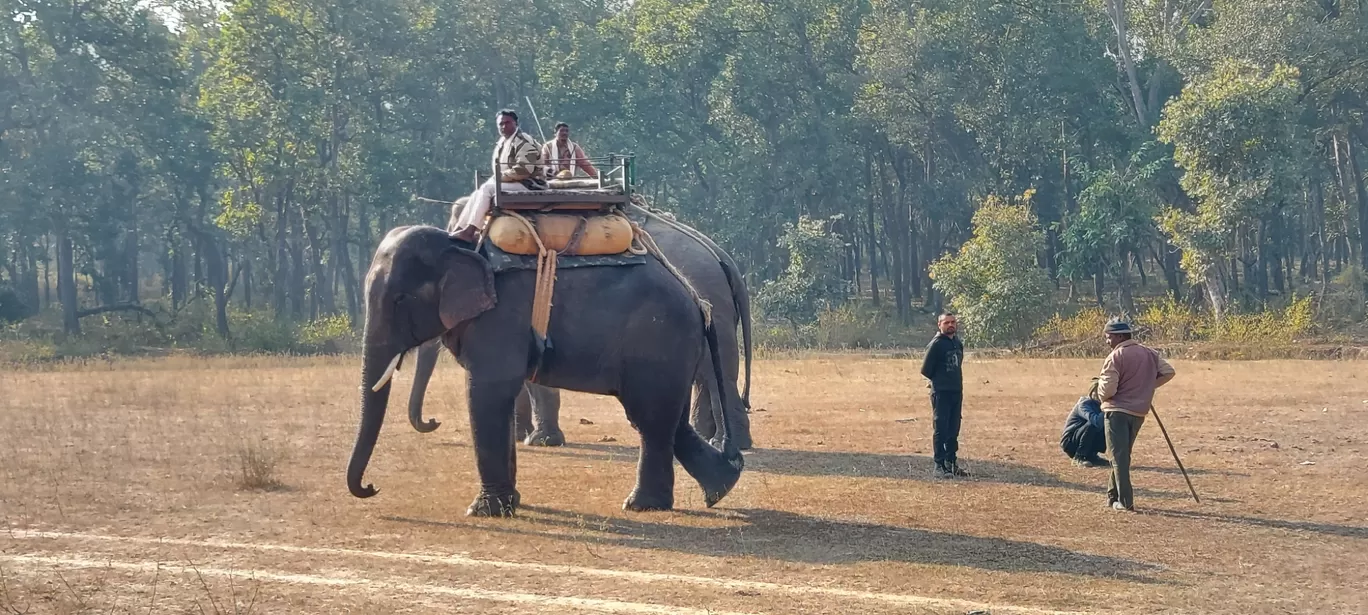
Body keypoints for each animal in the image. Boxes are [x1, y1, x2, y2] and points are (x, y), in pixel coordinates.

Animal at [347, 222, 744, 516]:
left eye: (400, 299)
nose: (371, 487)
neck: (462, 244)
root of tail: (697, 300)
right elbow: (499, 396)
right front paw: (509, 504)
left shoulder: (501, 318)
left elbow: (488, 392)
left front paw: (484, 511)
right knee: (666, 420)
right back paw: (720, 488)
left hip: (658, 343)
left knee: (650, 419)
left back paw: (643, 505)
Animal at [402, 199, 760, 448]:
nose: (432, 422)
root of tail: (722, 257)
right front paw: (521, 436)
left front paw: (541, 441)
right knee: (707, 373)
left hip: (708, 300)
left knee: (716, 372)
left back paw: (727, 443)